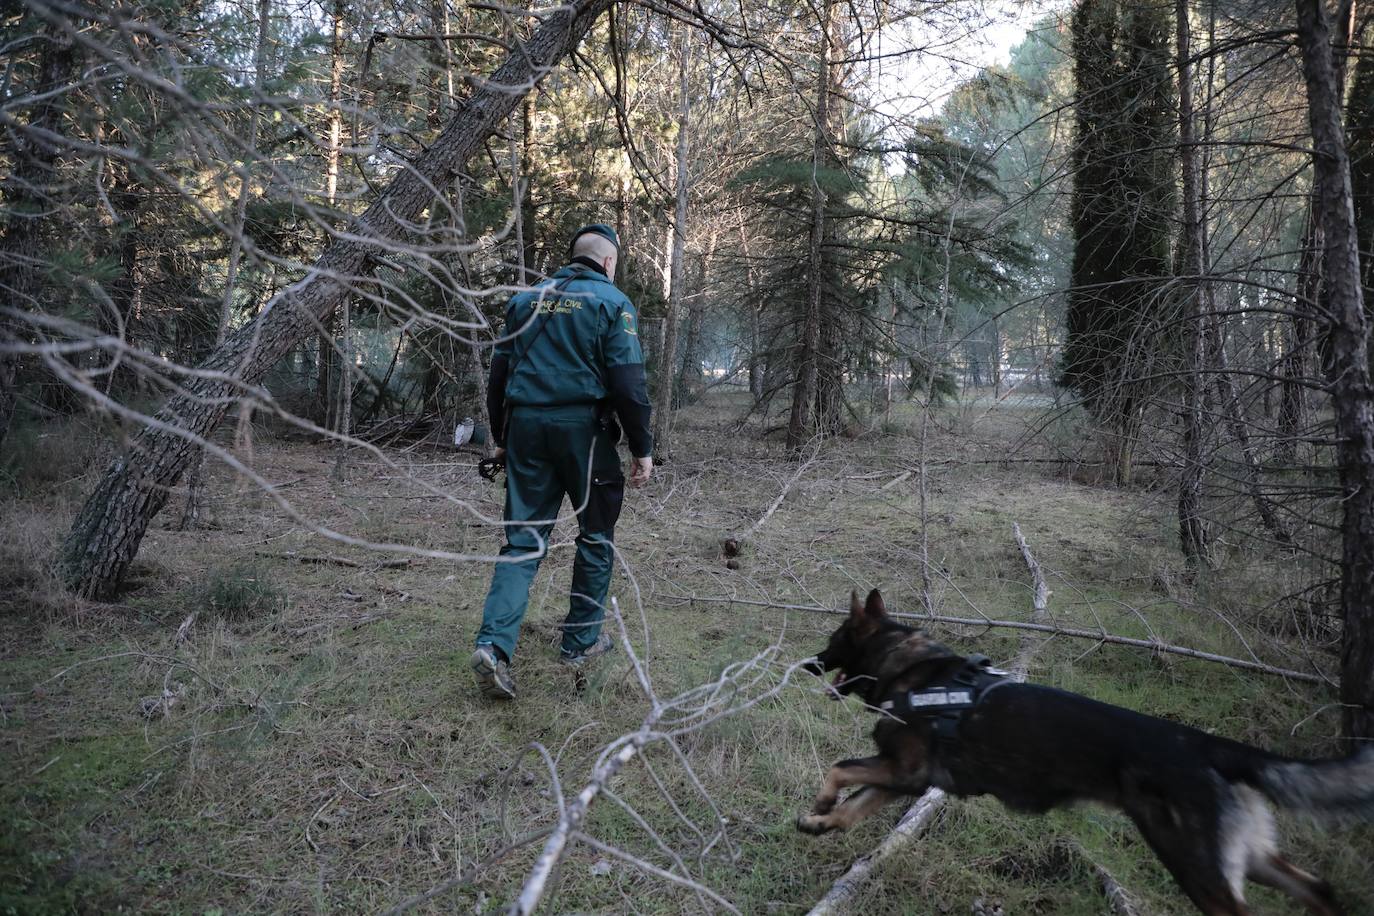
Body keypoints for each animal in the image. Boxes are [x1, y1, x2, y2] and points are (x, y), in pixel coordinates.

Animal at [802, 590, 1368, 911]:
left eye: (834, 638)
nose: (808, 664)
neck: (910, 669)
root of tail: (1210, 745)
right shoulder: (906, 778)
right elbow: (854, 807)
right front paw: (822, 821)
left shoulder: (904, 769)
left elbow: (839, 770)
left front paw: (820, 805)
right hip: (1248, 857)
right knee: (1319, 890)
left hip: (1194, 864)